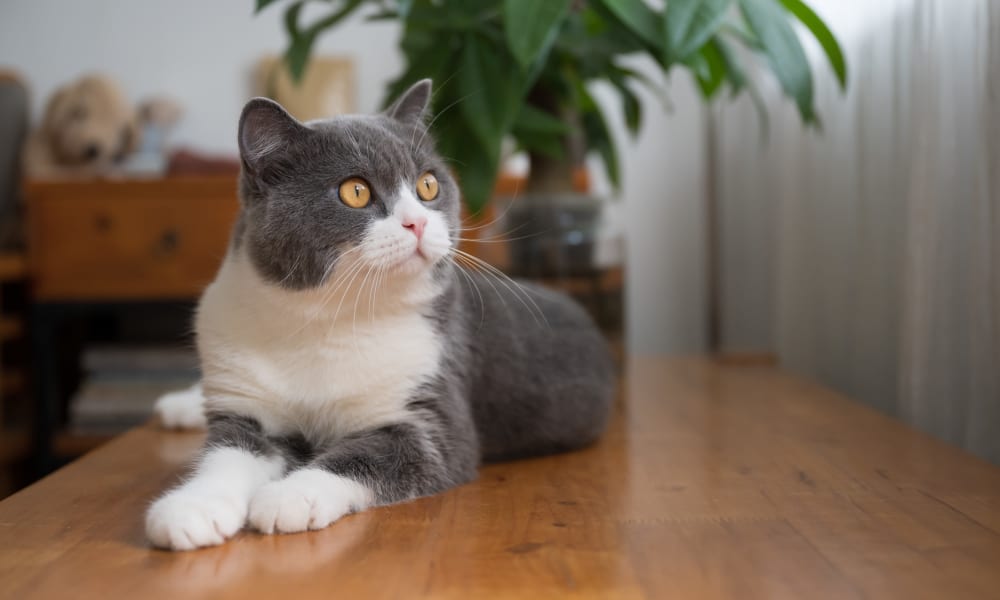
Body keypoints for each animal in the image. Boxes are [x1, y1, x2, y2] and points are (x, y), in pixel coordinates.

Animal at [146, 81, 616, 552]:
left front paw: (289, 497)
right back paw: (182, 404)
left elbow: (368, 456)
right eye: (355, 191)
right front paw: (191, 509)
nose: (417, 224)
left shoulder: (433, 414)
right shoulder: (246, 404)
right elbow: (228, 454)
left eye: (429, 185)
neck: (324, 321)